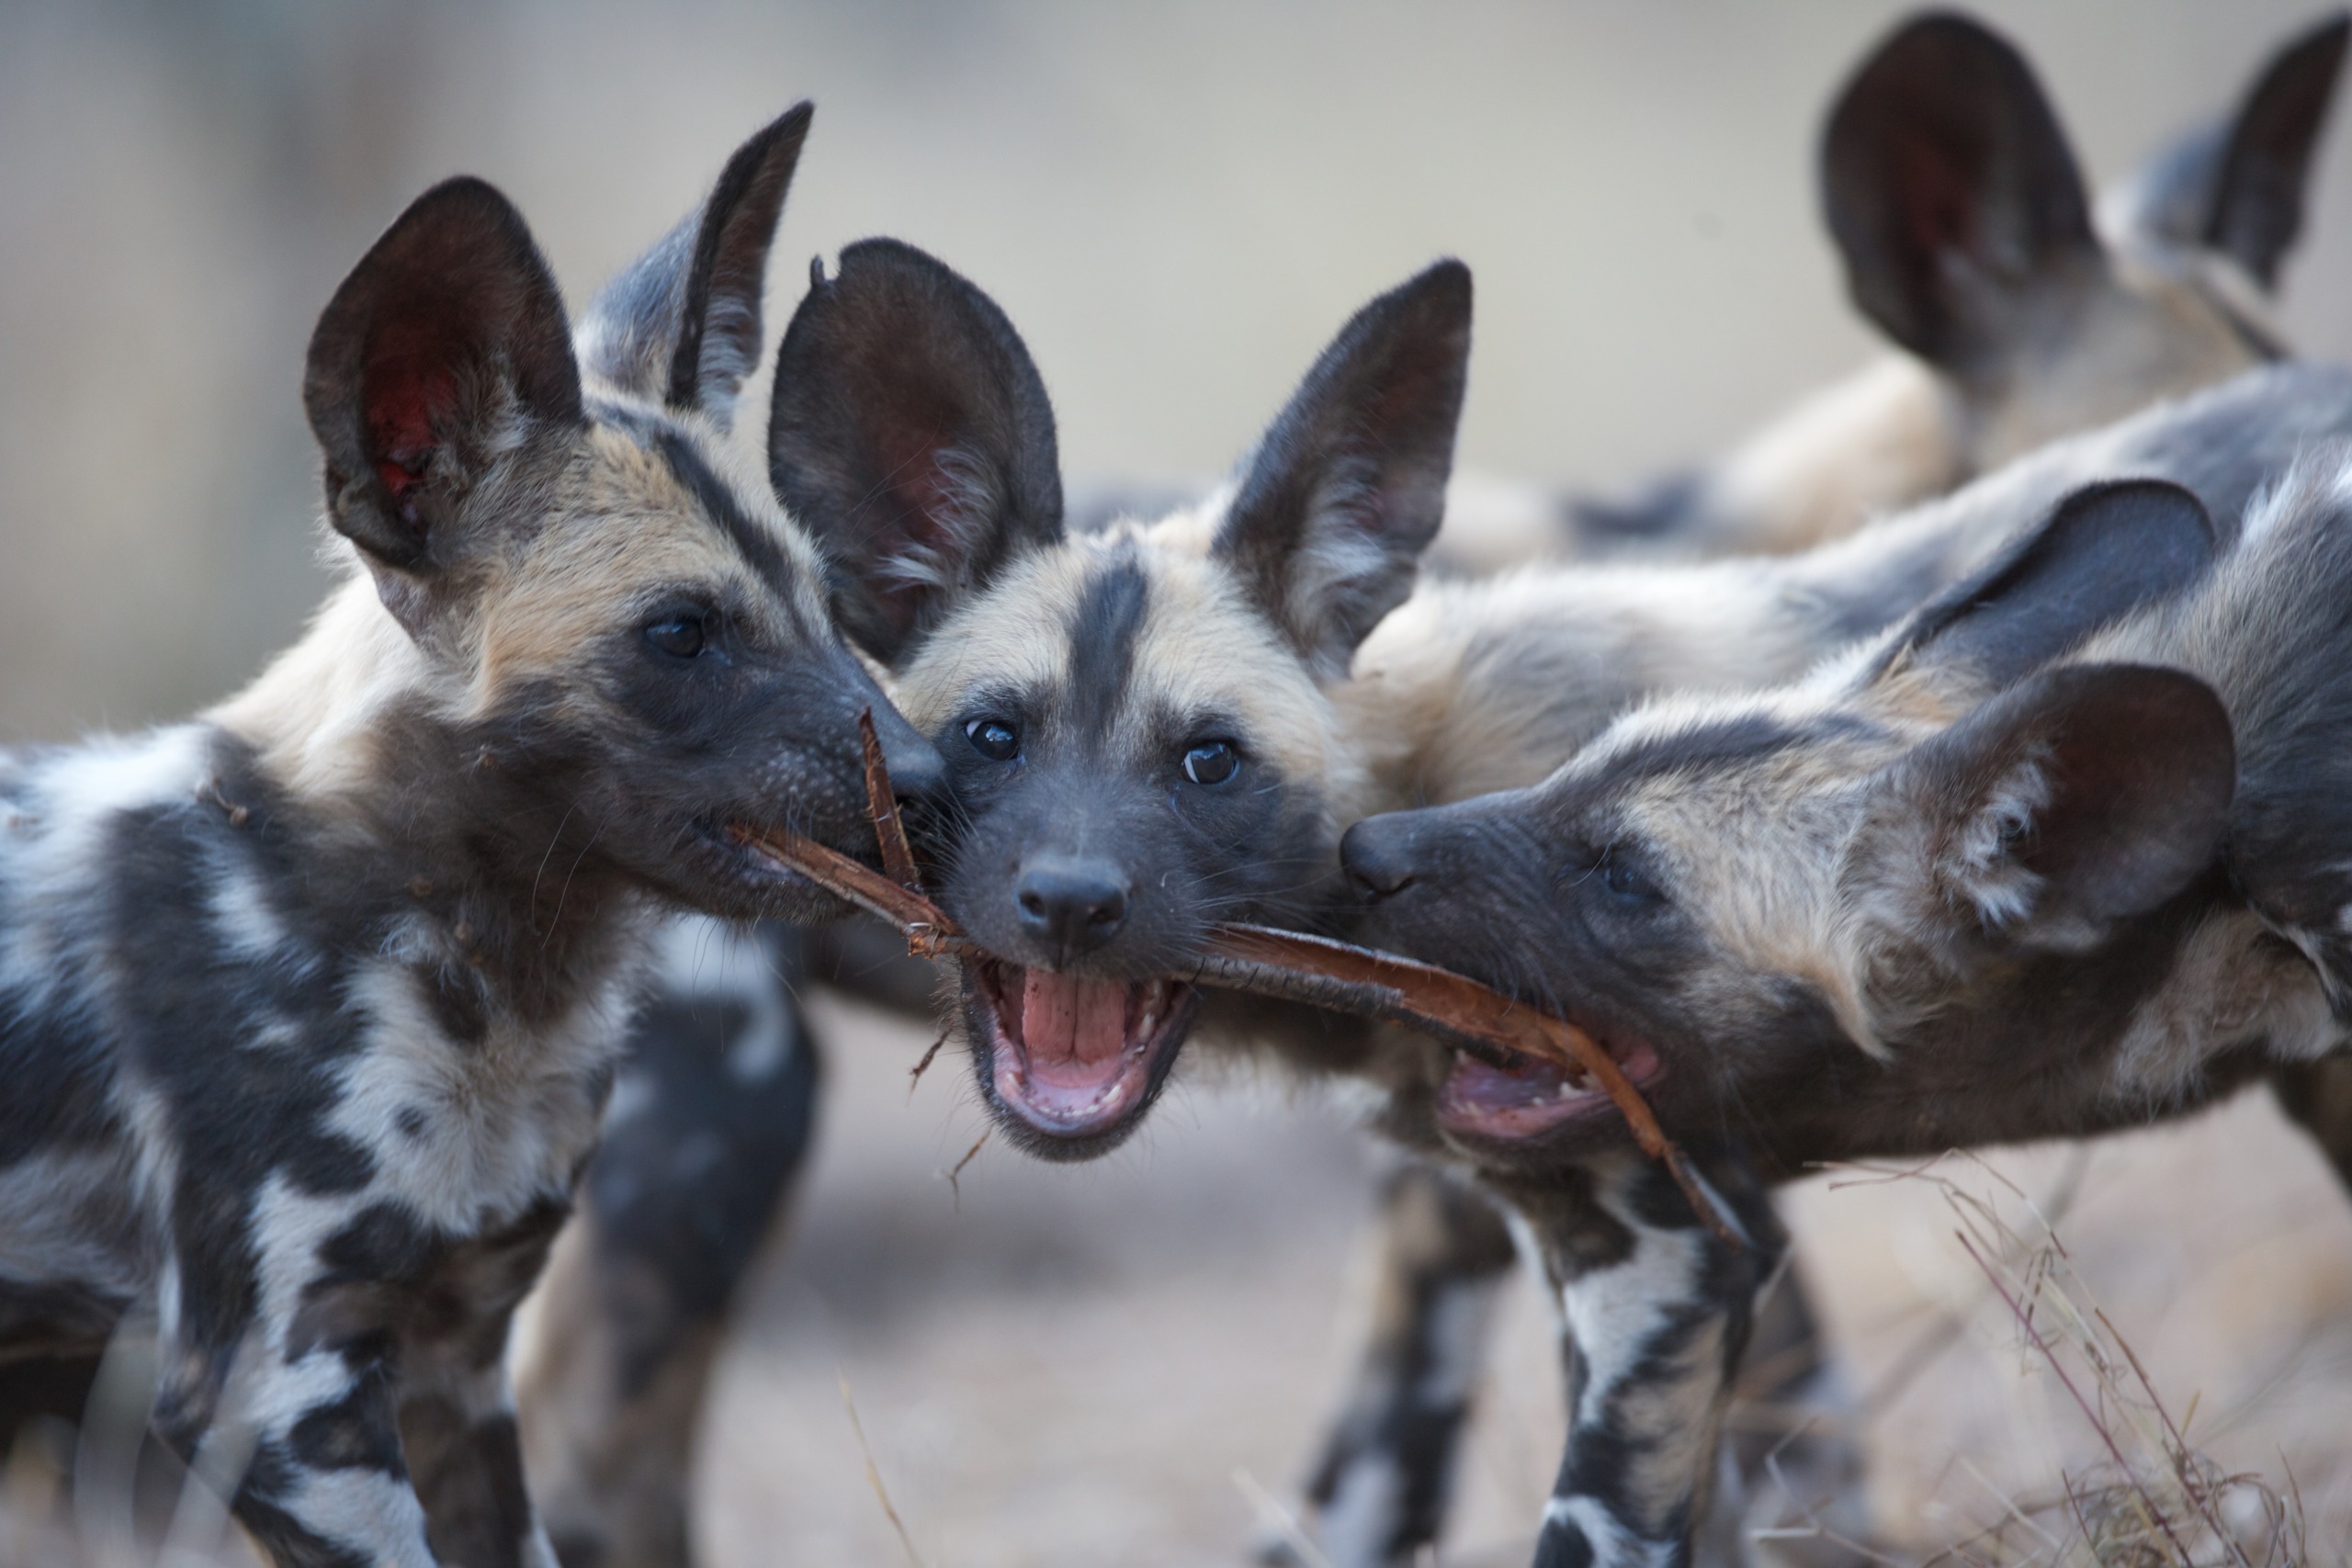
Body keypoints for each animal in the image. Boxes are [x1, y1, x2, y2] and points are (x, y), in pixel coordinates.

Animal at [2, 107, 955, 1568]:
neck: (480, 968)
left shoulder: (456, 1368)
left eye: (825, 604)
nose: (931, 781)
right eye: (682, 633)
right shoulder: (275, 1399)